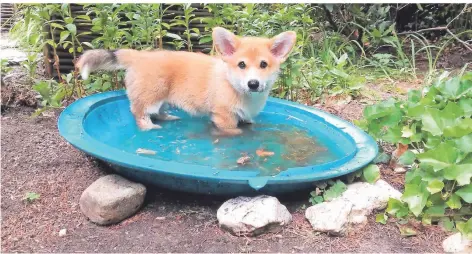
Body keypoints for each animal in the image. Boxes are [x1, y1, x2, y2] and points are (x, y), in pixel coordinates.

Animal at [76, 26, 296, 136]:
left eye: (263, 64)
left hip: (163, 99)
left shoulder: (245, 116)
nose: (253, 84)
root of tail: (139, 56)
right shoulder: (224, 118)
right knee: (139, 113)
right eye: (241, 65)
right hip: (151, 96)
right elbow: (234, 132)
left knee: (159, 112)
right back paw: (149, 128)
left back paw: (169, 118)